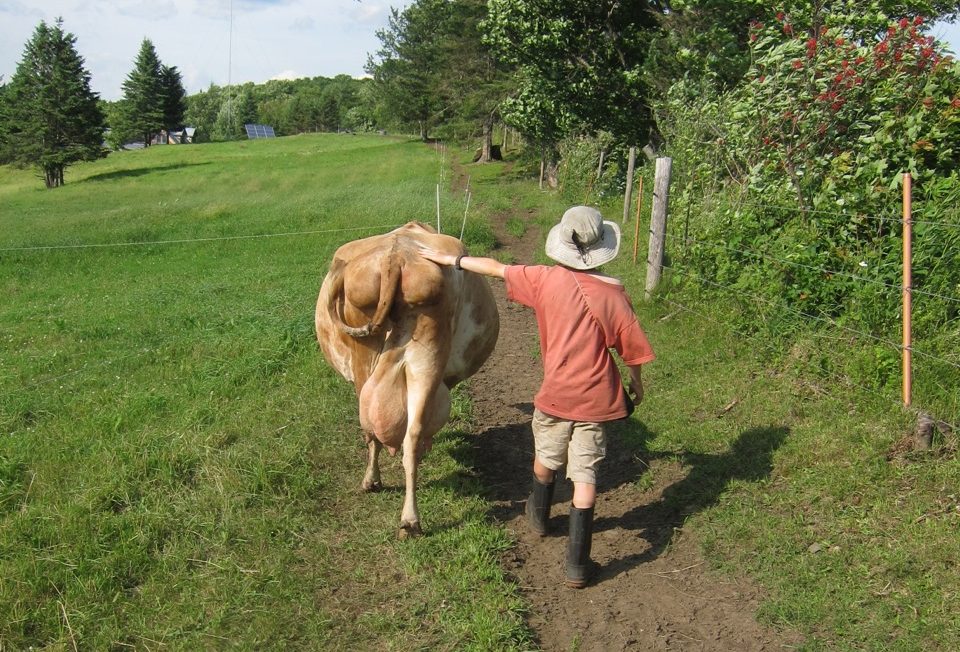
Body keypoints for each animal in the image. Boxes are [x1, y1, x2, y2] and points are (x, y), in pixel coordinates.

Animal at [315, 222, 499, 538]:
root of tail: (396, 256)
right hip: (422, 358)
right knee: (407, 435)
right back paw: (409, 518)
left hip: (372, 359)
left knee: (377, 431)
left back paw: (377, 486)